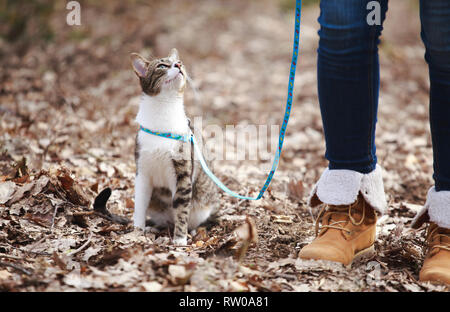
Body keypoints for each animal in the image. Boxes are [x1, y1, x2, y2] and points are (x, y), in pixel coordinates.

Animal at [130, 48, 220, 245]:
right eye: (162, 65)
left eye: (180, 62)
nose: (178, 64)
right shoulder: (142, 171)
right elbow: (139, 203)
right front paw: (137, 230)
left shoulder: (182, 174)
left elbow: (181, 208)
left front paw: (179, 239)